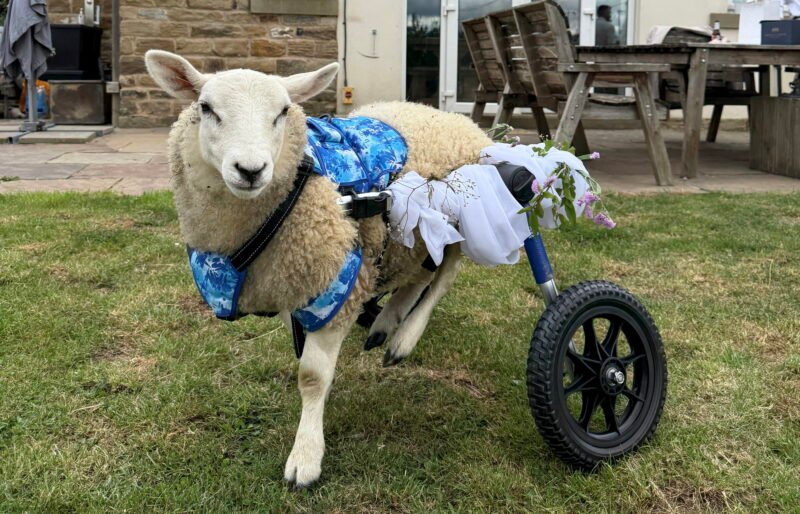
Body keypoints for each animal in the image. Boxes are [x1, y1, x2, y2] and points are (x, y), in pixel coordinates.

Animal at [145, 50, 491, 488]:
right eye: (206, 108)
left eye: (283, 111)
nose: (250, 170)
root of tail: (453, 117)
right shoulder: (296, 283)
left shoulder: (338, 283)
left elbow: (311, 376)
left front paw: (305, 457)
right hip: (413, 238)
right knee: (420, 276)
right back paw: (386, 325)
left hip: (459, 225)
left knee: (443, 278)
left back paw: (404, 339)